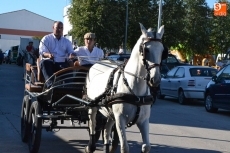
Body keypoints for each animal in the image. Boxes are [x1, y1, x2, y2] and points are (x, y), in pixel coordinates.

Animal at [85, 23, 164, 153]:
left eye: (162, 50)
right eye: (146, 50)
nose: (155, 79)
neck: (135, 91)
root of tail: (96, 63)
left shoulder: (143, 120)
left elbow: (146, 146)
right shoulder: (120, 119)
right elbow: (125, 147)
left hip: (110, 113)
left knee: (106, 130)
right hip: (93, 106)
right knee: (92, 125)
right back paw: (91, 146)